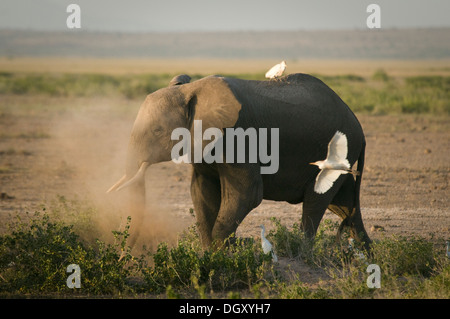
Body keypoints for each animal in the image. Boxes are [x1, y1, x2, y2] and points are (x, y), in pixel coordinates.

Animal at [107, 74, 370, 251]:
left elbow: (247, 193)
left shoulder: (240, 137)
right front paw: (209, 255)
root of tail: (358, 124)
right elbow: (202, 191)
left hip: (339, 150)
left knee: (316, 203)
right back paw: (366, 254)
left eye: (158, 130)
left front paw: (218, 255)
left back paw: (303, 253)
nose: (122, 256)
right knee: (345, 206)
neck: (191, 90)